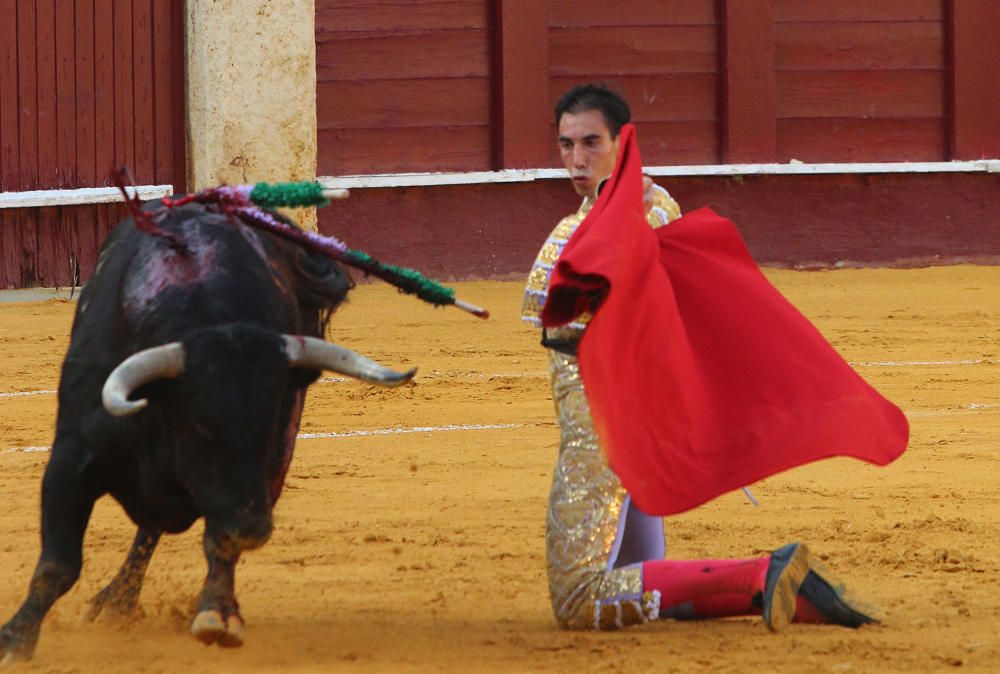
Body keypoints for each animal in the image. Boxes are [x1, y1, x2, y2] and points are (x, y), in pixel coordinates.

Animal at [0, 197, 414, 660]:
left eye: (270, 418)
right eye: (199, 424)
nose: (252, 529)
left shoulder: (263, 470)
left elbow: (218, 542)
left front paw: (218, 612)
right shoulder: (71, 457)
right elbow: (58, 563)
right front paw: (16, 640)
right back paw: (117, 601)